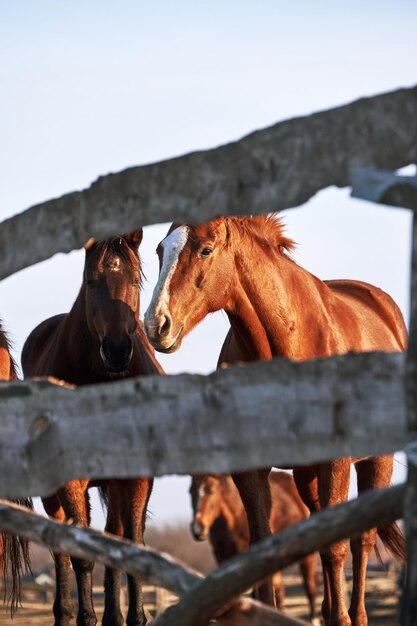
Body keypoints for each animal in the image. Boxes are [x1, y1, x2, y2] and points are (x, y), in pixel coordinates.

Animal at [21, 232, 162, 624]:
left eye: (135, 281)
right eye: (91, 281)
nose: (117, 350)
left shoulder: (137, 477)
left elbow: (131, 547)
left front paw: (136, 617)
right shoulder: (71, 481)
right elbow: (81, 557)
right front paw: (86, 616)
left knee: (113, 538)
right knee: (61, 550)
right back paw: (66, 612)